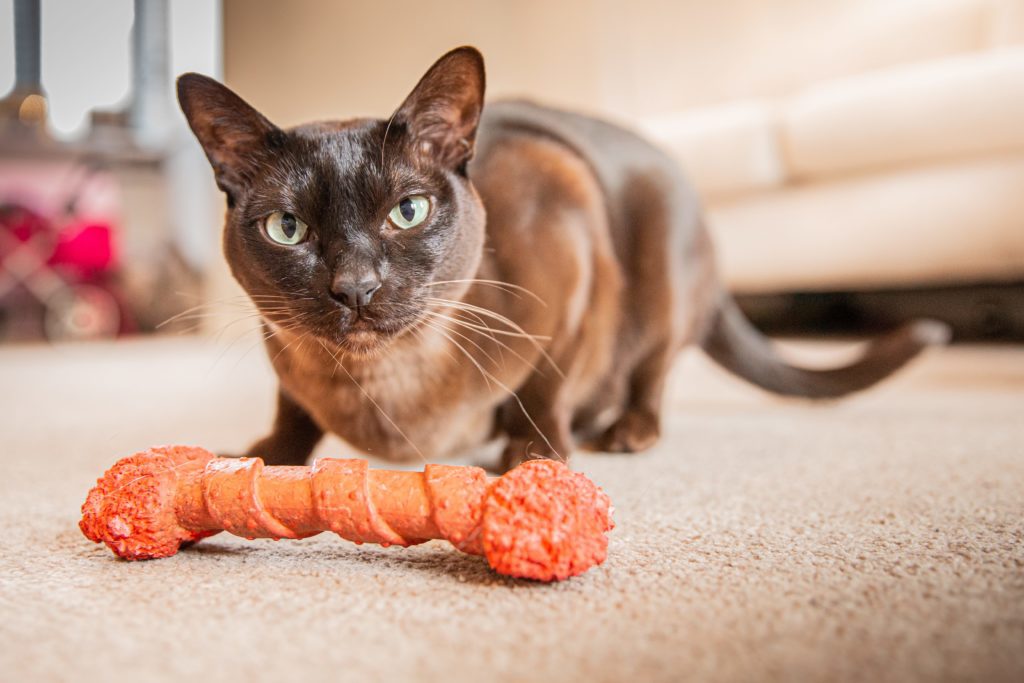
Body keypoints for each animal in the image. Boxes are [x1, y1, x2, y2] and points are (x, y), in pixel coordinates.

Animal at [174, 46, 942, 471]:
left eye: (408, 212)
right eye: (288, 228)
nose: (355, 288)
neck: (383, 388)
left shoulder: (569, 261)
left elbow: (547, 383)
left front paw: (534, 455)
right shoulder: (285, 351)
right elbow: (293, 411)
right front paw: (260, 457)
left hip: (657, 257)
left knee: (651, 373)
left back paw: (623, 431)